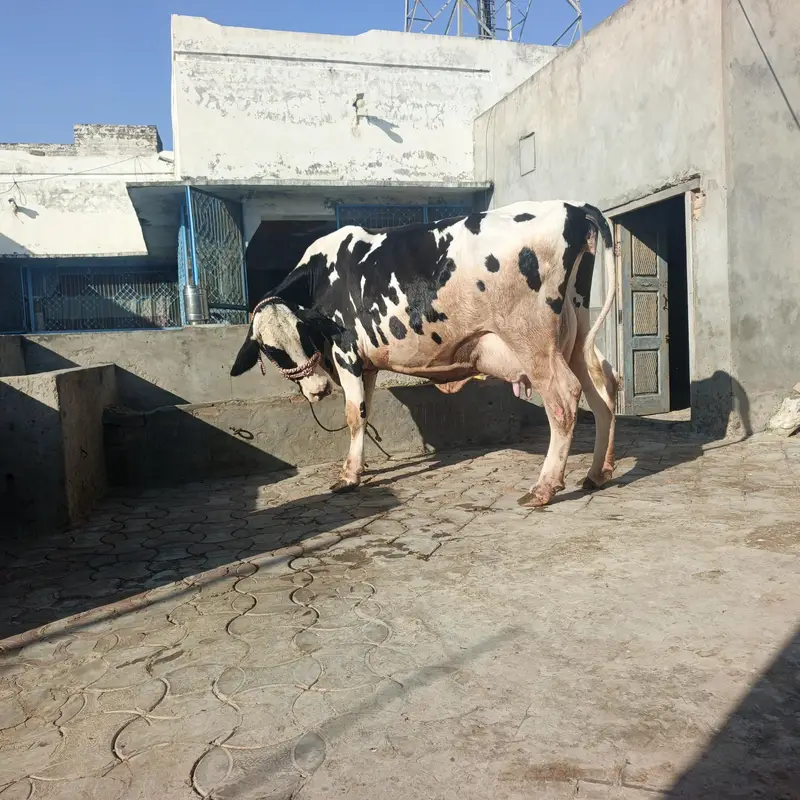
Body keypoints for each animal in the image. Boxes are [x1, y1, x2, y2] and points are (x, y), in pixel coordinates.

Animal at [231, 201, 619, 508]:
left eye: (300, 335)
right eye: (271, 348)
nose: (318, 389)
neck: (320, 276)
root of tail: (572, 207)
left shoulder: (346, 351)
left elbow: (354, 415)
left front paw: (348, 477)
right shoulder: (367, 364)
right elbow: (365, 413)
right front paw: (361, 466)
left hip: (533, 340)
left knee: (564, 398)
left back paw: (544, 488)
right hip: (576, 331)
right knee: (603, 386)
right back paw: (598, 472)